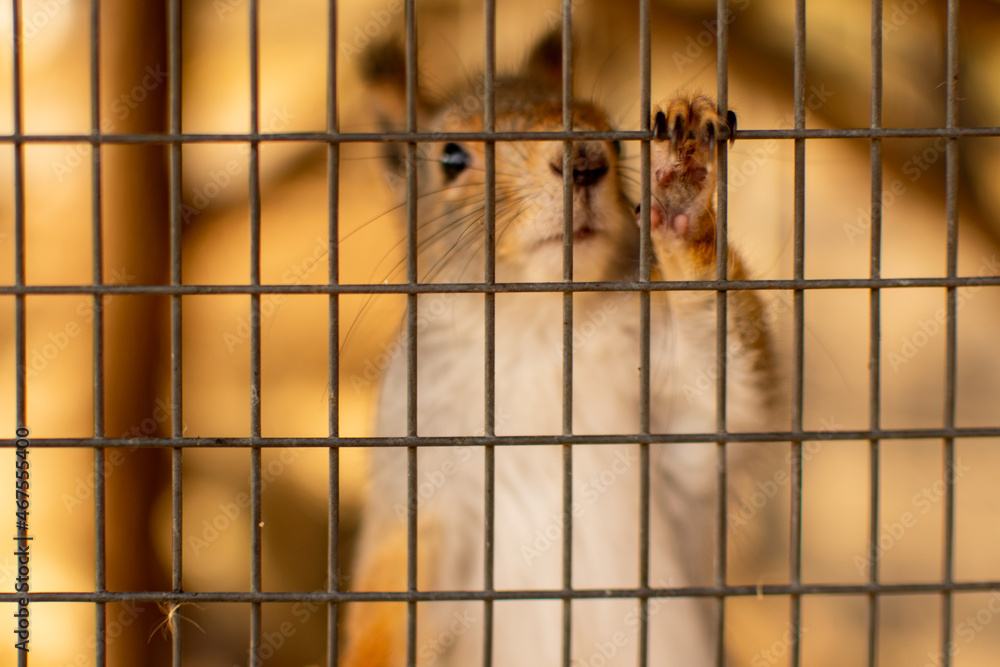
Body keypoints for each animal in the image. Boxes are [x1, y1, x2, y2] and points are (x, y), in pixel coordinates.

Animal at [341, 31, 777, 667]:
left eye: (613, 134)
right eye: (451, 158)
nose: (586, 160)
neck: (538, 334)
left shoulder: (672, 437)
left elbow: (725, 405)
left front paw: (682, 189)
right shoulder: (416, 478)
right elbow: (391, 599)